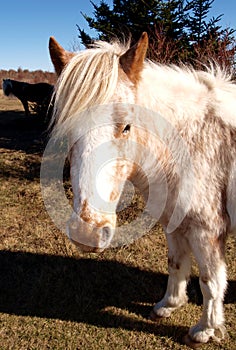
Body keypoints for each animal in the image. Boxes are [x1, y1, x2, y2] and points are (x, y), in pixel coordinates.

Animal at [48, 33, 236, 348]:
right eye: (67, 132)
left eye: (126, 127)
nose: (87, 234)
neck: (190, 141)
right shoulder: (175, 221)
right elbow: (176, 263)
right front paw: (168, 306)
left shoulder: (206, 230)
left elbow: (210, 281)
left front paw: (205, 330)